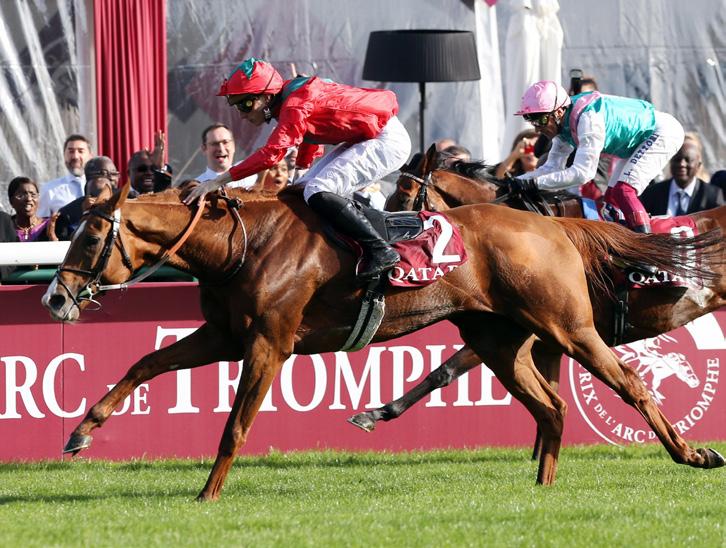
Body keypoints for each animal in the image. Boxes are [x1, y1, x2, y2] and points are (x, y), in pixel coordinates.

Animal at [41, 181, 724, 501]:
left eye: (89, 236)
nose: (55, 298)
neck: (240, 244)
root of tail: (556, 226)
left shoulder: (269, 343)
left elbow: (236, 423)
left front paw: (208, 493)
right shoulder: (226, 335)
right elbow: (145, 361)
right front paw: (80, 433)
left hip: (569, 327)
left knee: (630, 383)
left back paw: (692, 455)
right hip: (500, 340)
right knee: (552, 407)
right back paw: (543, 486)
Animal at [350, 145, 726, 451]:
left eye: (404, 194)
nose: (390, 245)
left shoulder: (526, 327)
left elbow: (443, 371)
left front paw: (377, 412)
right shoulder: (540, 336)